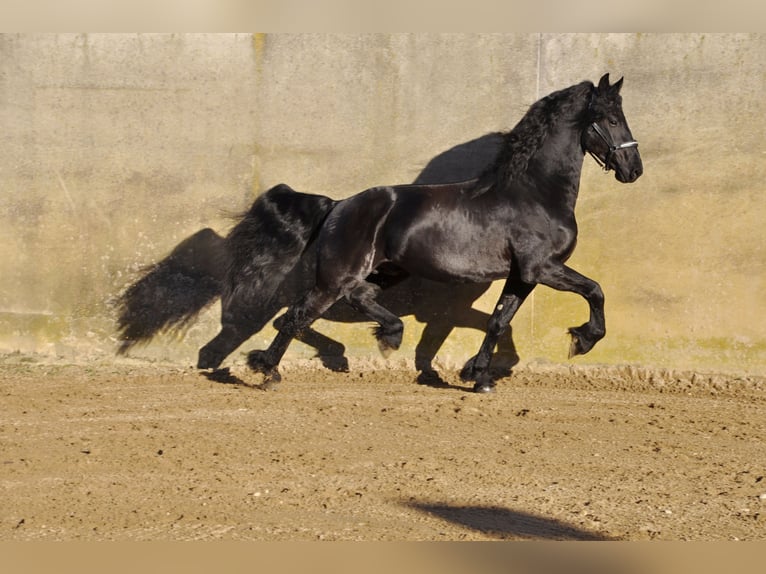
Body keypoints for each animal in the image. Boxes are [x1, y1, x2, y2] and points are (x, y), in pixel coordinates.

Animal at [242, 73, 642, 392]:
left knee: (348, 300)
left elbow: (499, 322)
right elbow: (595, 290)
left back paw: (381, 337)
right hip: (337, 277)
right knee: (299, 315)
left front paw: (478, 377)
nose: (634, 169)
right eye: (611, 118)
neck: (535, 193)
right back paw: (270, 371)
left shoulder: (521, 276)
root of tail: (339, 204)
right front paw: (583, 340)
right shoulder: (541, 267)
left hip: (386, 271)